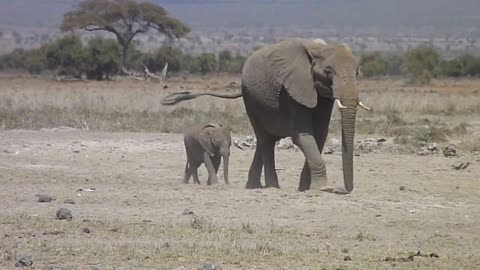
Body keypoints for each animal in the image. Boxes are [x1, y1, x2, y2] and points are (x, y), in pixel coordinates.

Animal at [163, 38, 370, 194]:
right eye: (328, 70)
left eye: (357, 72)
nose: (346, 189)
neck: (317, 49)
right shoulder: (292, 90)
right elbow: (303, 136)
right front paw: (321, 188)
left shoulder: (321, 95)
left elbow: (319, 135)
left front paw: (305, 188)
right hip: (252, 101)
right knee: (265, 140)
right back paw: (272, 187)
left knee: (264, 142)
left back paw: (254, 186)